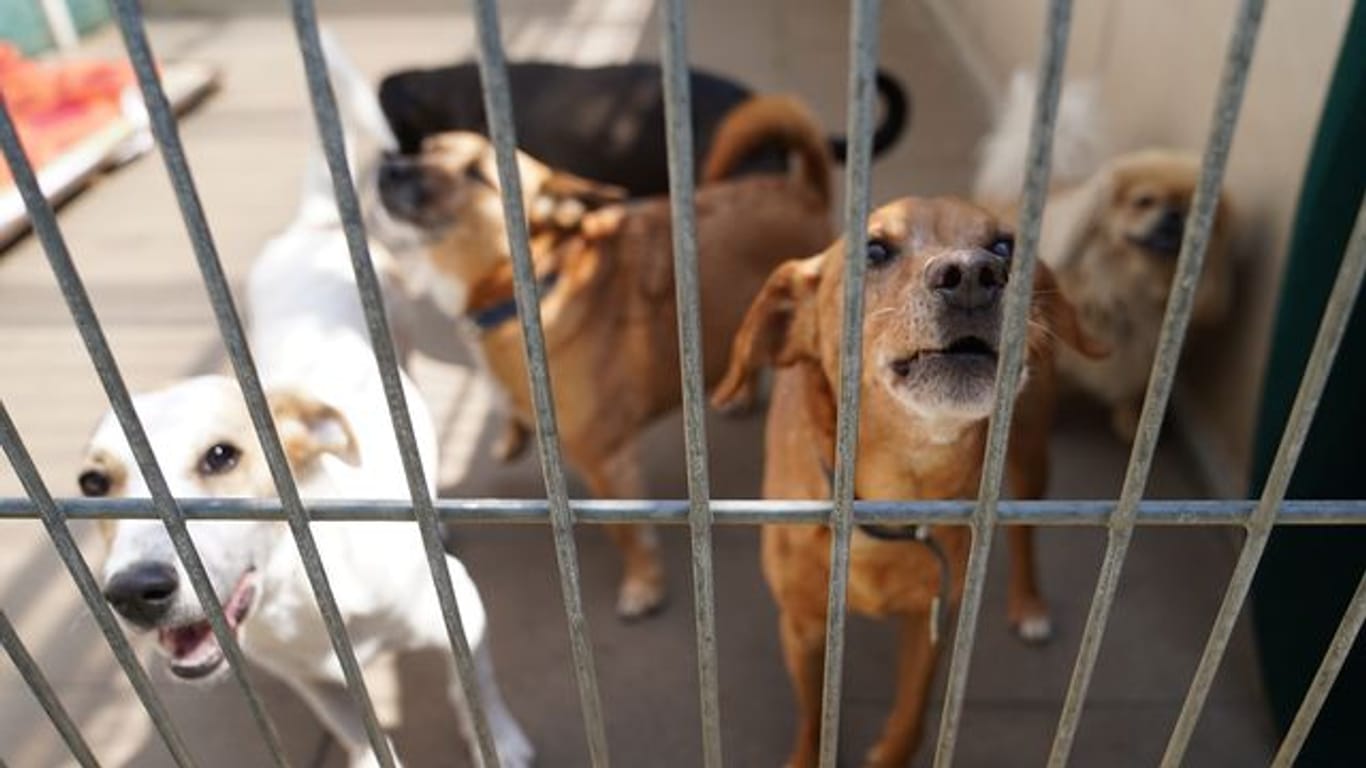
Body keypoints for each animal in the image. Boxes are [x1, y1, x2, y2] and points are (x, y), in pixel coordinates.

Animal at [74, 32, 532, 759]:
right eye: (93, 484)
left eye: (222, 457)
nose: (135, 591)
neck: (302, 591)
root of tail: (313, 226)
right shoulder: (313, 684)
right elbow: (359, 736)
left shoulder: (463, 611)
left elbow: (476, 690)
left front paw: (503, 742)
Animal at [715, 195, 1098, 759]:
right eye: (874, 250)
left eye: (1004, 246)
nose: (974, 274)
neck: (896, 493)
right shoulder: (802, 626)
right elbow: (812, 715)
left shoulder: (931, 620)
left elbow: (913, 712)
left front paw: (892, 753)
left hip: (1030, 450)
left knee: (1026, 533)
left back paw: (1029, 605)